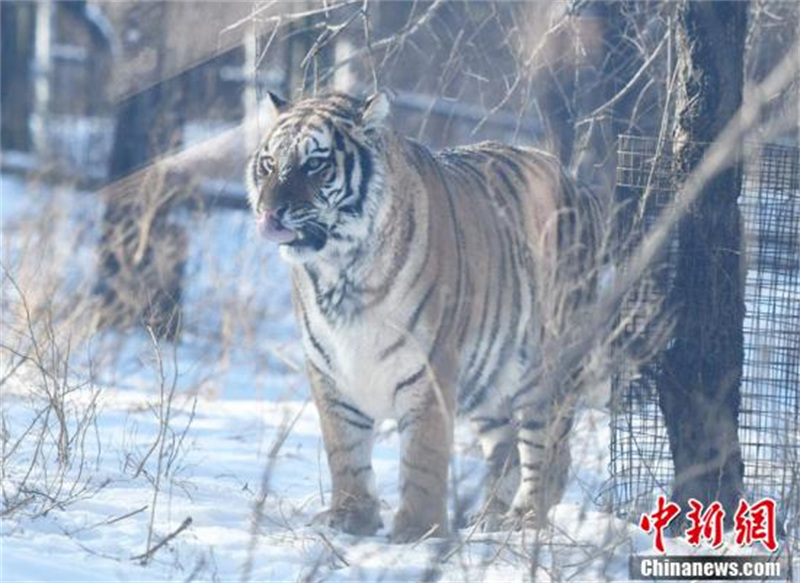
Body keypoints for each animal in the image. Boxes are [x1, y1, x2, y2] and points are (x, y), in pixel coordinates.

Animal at [245, 91, 603, 542]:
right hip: (492, 383)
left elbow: (423, 456)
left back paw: (524, 521)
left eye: (314, 164)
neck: (340, 271)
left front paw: (418, 530)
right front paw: (350, 518)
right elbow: (345, 449)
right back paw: (487, 518)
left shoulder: (427, 367)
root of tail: (577, 182)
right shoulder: (329, 369)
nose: (268, 210)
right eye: (269, 163)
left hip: (547, 369)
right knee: (506, 451)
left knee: (549, 451)